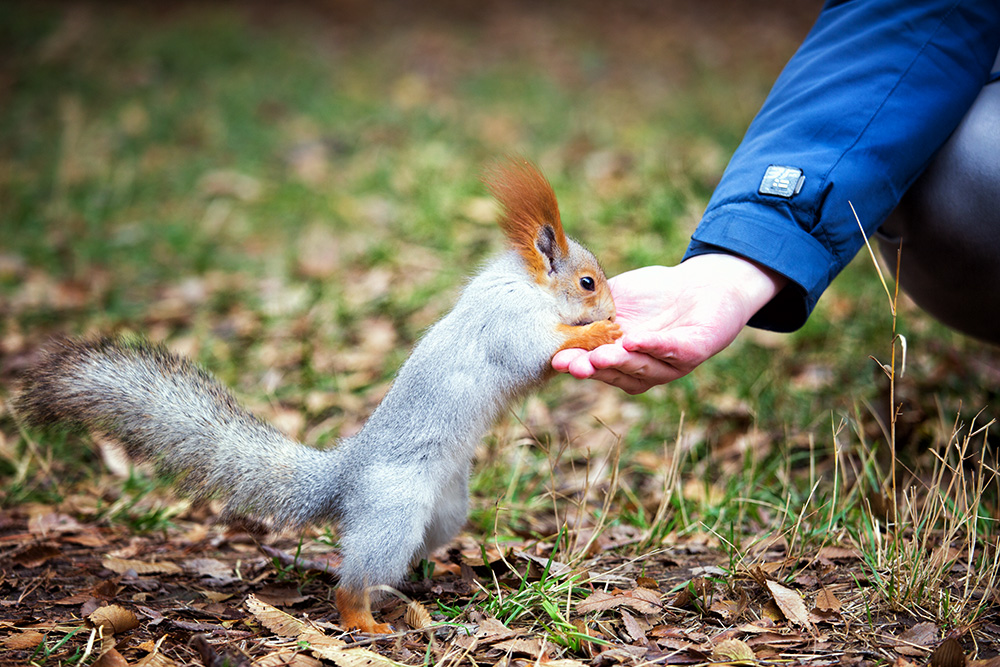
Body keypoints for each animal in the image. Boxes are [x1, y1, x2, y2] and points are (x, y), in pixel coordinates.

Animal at [13, 155, 624, 632]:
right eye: (587, 282)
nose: (613, 306)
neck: (527, 285)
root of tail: (344, 476)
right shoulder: (506, 322)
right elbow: (535, 350)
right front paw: (597, 331)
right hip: (394, 512)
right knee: (350, 584)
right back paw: (366, 620)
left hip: (445, 510)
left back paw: (425, 585)